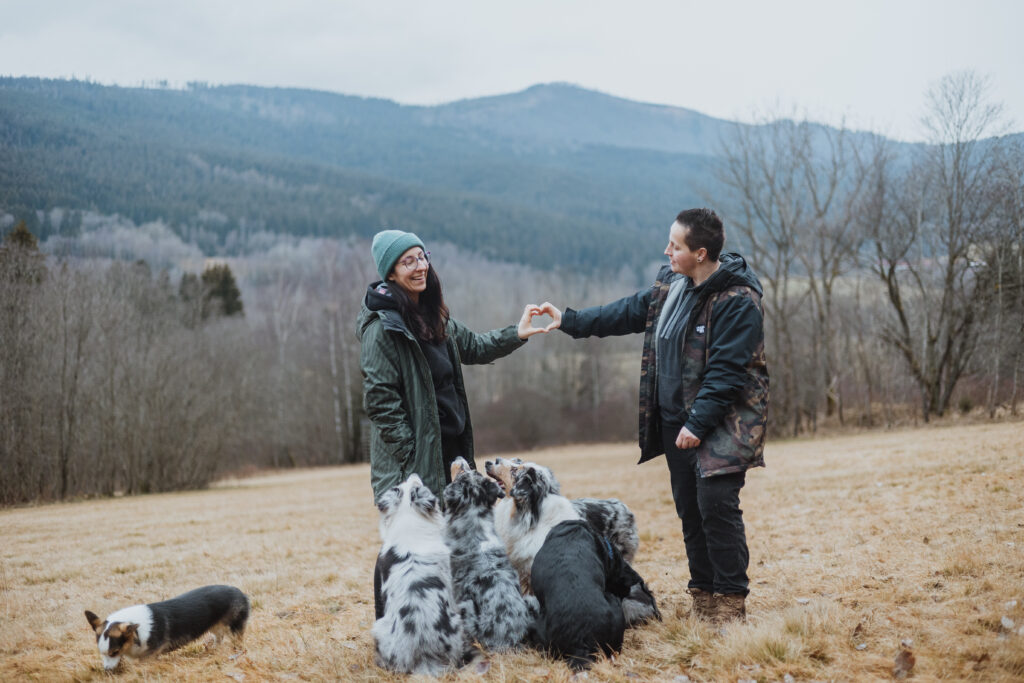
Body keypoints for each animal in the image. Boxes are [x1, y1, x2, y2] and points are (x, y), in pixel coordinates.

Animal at [83, 585, 247, 671]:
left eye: (114, 652)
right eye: (102, 653)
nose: (107, 671)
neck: (136, 632)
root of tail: (241, 592)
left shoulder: (150, 655)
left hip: (234, 629)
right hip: (216, 627)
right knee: (218, 637)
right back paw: (214, 649)